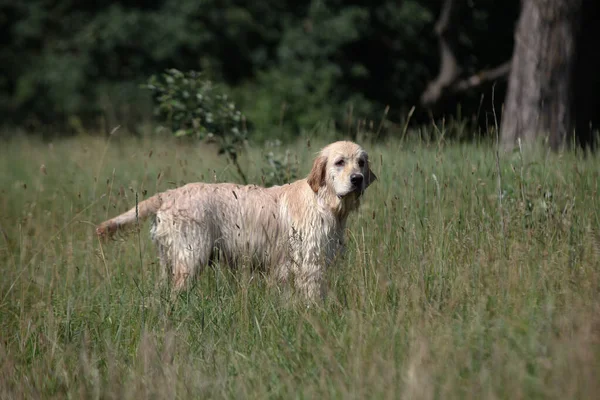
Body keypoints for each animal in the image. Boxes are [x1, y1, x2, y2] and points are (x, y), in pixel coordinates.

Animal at [96, 141, 378, 300]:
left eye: (361, 162)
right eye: (339, 162)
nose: (357, 179)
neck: (324, 202)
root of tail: (169, 195)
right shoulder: (309, 265)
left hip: (169, 261)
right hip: (190, 259)